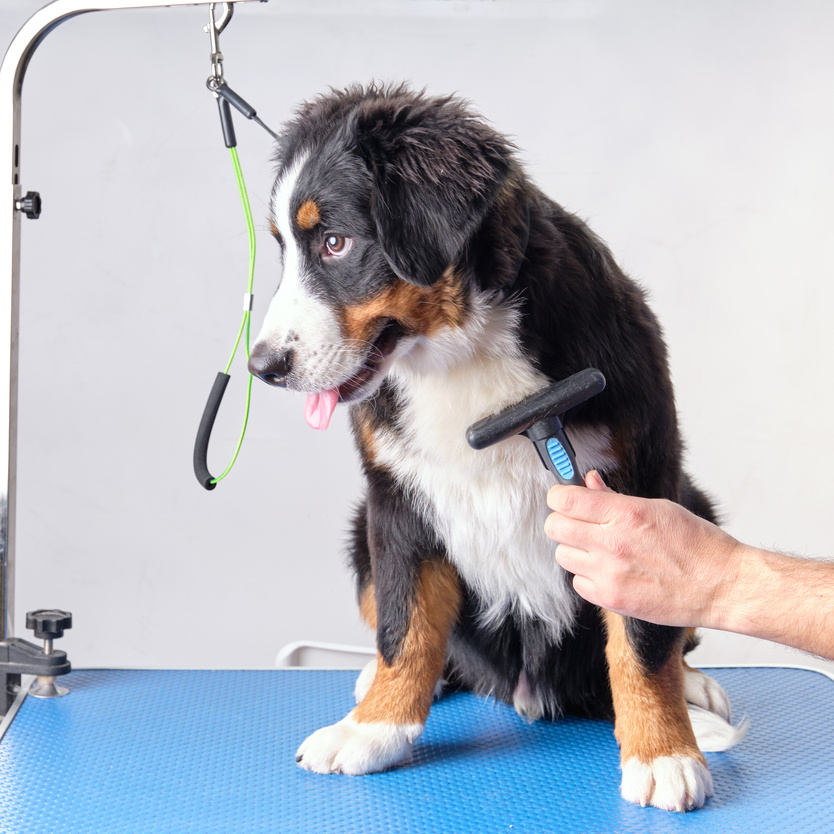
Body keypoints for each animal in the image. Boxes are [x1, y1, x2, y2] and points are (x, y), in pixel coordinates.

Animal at [249, 86, 740, 812]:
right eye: (284, 250)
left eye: (335, 243)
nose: (263, 367)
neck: (461, 353)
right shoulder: (396, 498)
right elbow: (406, 624)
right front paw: (375, 729)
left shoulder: (637, 487)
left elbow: (640, 639)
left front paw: (663, 750)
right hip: (359, 532)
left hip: (694, 502)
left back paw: (694, 691)